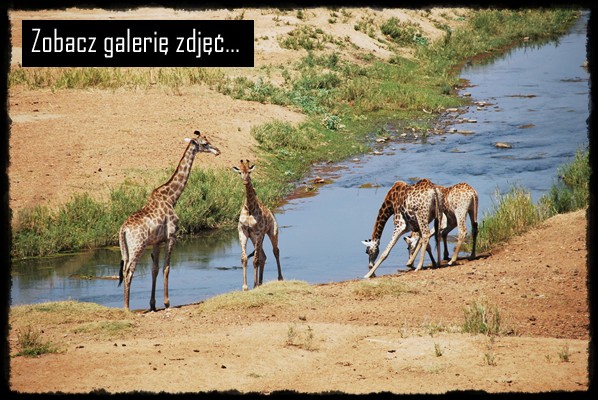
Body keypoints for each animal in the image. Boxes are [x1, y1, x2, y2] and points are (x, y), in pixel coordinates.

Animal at [118, 130, 220, 310]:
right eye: (205, 143)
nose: (217, 151)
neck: (172, 197)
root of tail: (123, 230)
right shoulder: (172, 236)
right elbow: (167, 267)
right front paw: (167, 302)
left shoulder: (157, 241)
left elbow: (155, 269)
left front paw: (152, 304)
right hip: (138, 246)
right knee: (129, 271)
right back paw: (127, 308)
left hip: (125, 248)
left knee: (124, 270)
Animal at [232, 159, 284, 290]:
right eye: (240, 172)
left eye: (249, 172)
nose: (245, 181)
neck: (250, 208)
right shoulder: (243, 232)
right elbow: (244, 258)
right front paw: (245, 287)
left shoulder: (259, 232)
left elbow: (254, 260)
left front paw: (253, 285)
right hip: (254, 238)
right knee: (263, 256)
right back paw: (260, 282)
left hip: (271, 232)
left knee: (275, 251)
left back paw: (280, 278)